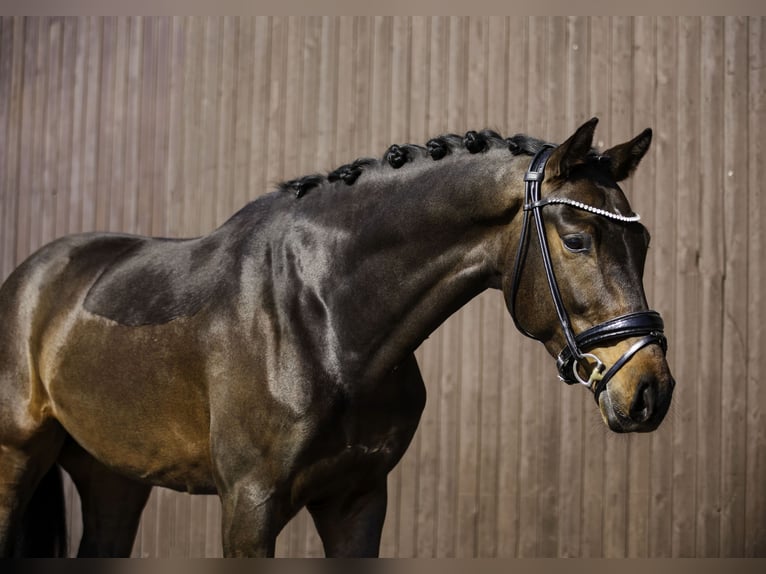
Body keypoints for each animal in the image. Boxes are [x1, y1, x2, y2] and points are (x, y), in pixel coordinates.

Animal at [0, 118, 672, 560]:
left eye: (642, 243)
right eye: (578, 240)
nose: (651, 391)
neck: (326, 321)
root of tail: (29, 278)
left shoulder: (358, 500)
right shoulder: (249, 505)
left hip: (114, 475)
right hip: (18, 459)